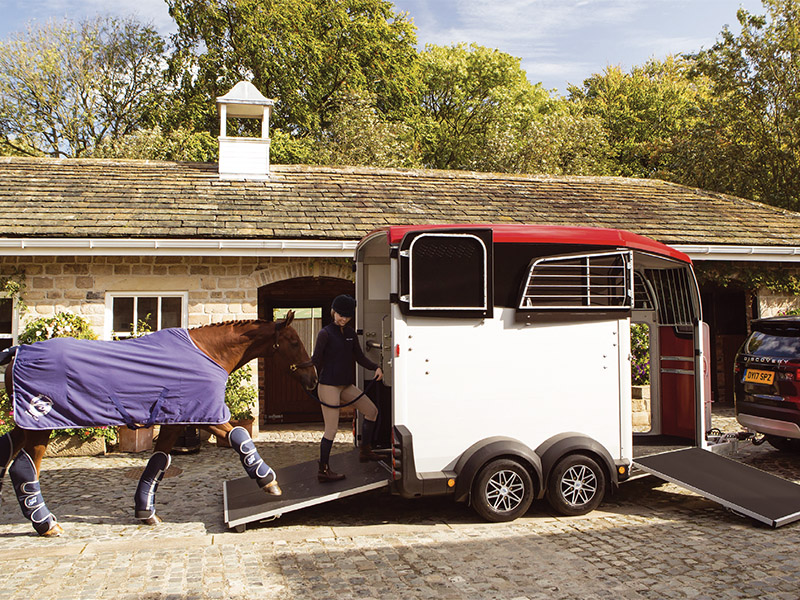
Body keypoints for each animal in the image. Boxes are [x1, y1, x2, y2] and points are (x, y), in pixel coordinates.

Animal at [0, 312, 318, 536]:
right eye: (293, 342)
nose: (313, 379)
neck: (207, 353)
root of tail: (17, 352)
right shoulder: (203, 415)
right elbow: (241, 437)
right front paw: (269, 482)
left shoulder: (177, 422)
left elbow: (158, 462)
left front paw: (145, 511)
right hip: (40, 425)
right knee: (24, 468)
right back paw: (45, 524)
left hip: (26, 425)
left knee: (8, 450)